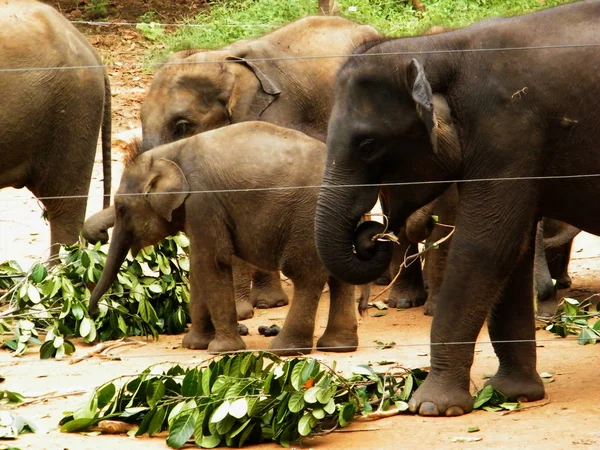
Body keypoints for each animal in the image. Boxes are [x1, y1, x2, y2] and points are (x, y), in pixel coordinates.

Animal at [81, 14, 384, 312]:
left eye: (182, 126)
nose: (97, 237)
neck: (225, 61)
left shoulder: (275, 115)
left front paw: (258, 306)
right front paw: (257, 305)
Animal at [88, 122, 360, 356]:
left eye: (121, 208)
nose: (94, 313)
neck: (170, 151)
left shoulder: (203, 201)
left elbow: (212, 262)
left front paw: (222, 350)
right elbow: (198, 267)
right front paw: (194, 345)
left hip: (307, 217)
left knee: (304, 274)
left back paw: (285, 350)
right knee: (339, 274)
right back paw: (338, 346)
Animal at [316, 0, 596, 416]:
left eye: (368, 144)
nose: (372, 234)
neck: (443, 48)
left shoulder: (508, 130)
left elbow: (486, 246)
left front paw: (431, 407)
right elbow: (513, 250)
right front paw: (512, 394)